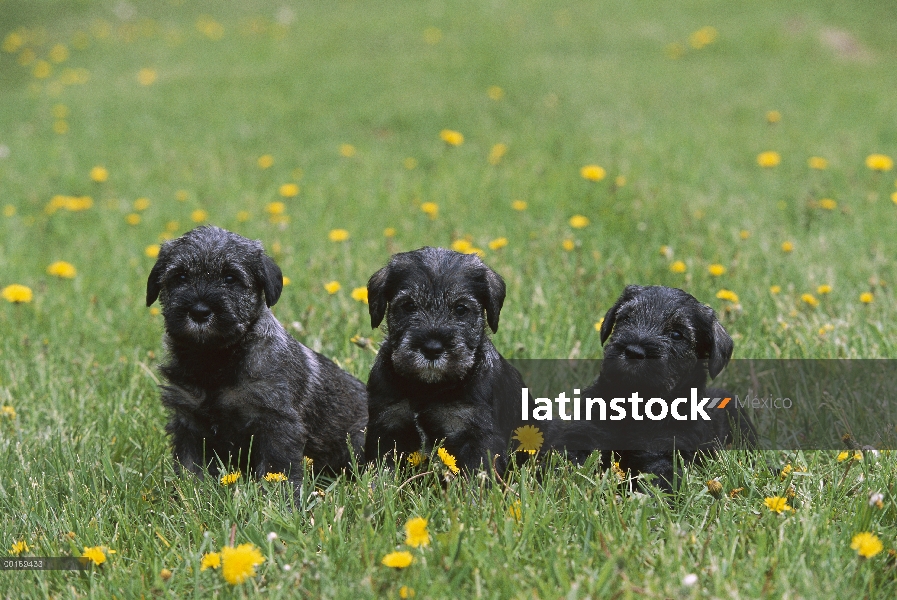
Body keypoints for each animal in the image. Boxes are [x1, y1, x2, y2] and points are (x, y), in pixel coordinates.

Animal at [147, 227, 368, 494]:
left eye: (230, 278)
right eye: (179, 276)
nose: (199, 312)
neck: (215, 360)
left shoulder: (276, 422)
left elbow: (277, 469)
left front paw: (281, 500)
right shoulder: (189, 421)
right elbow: (192, 468)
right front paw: (191, 494)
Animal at [364, 246, 524, 472]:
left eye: (461, 309)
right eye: (408, 305)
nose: (432, 349)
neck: (428, 388)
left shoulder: (476, 434)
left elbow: (477, 474)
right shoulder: (387, 424)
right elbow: (382, 470)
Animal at [548, 288, 752, 492]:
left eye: (676, 334)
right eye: (626, 318)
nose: (633, 352)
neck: (636, 406)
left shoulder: (665, 451)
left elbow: (657, 479)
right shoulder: (587, 431)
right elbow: (569, 458)